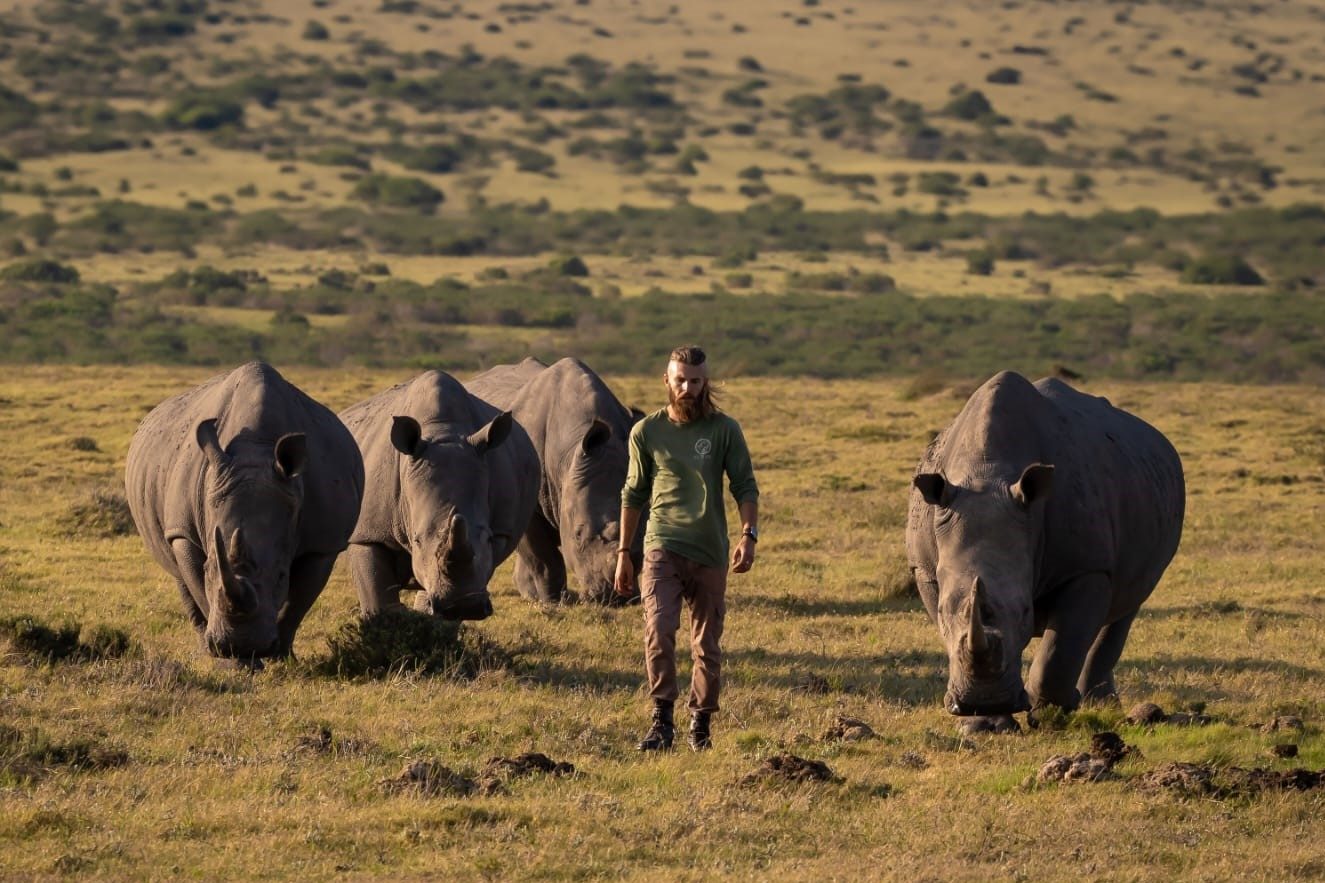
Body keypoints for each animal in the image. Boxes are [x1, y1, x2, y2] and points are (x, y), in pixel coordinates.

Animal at [125, 362, 364, 660]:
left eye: (281, 575)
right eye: (208, 568)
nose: (240, 646)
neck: (256, 447)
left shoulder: (323, 543)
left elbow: (297, 605)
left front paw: (279, 656)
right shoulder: (183, 531)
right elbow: (200, 589)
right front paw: (229, 660)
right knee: (178, 575)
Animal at [339, 370, 539, 619]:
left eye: (488, 538)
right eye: (416, 540)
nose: (464, 606)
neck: (442, 431)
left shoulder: (500, 532)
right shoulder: (369, 532)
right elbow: (379, 598)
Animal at [905, 371, 1185, 733]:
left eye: (1026, 611)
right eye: (941, 611)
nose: (985, 701)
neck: (986, 472)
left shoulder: (1086, 567)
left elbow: (1059, 650)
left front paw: (1052, 715)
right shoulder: (925, 568)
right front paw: (985, 724)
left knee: (1126, 605)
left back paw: (1100, 704)